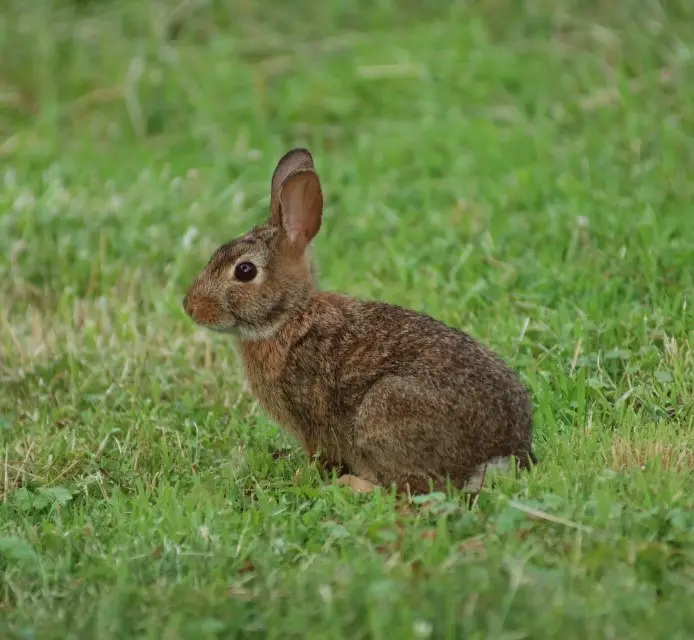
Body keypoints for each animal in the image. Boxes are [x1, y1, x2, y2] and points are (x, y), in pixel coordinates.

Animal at [184, 149, 540, 496]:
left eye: (245, 271)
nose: (190, 306)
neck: (289, 318)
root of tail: (499, 455)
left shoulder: (311, 422)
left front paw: (302, 477)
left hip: (383, 411)